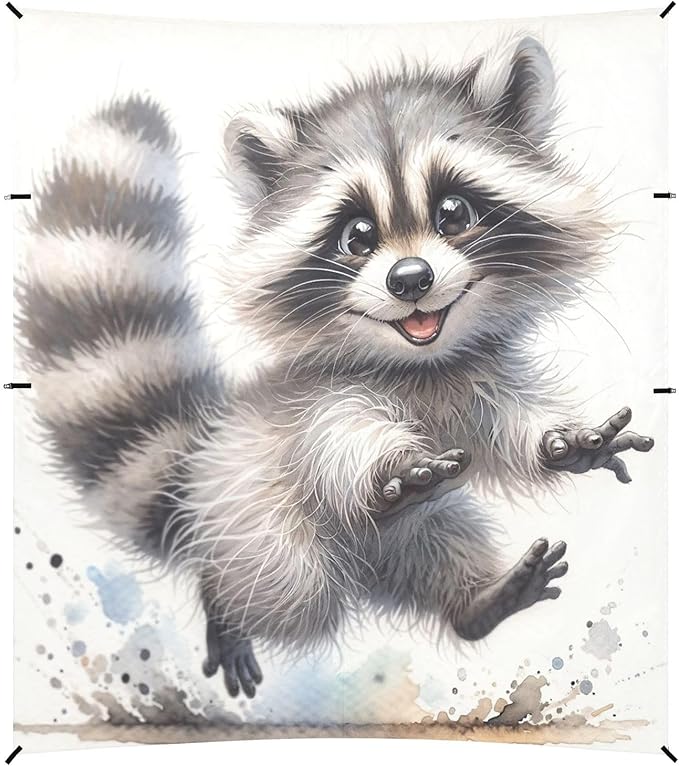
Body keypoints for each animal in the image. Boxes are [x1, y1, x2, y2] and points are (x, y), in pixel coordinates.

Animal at [18, 35, 654, 699]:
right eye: (357, 236)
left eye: (453, 212)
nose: (410, 280)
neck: (424, 364)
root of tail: (198, 473)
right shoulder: (319, 400)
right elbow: (338, 443)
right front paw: (389, 468)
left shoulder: (480, 376)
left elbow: (510, 424)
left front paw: (561, 441)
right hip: (256, 518)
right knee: (288, 591)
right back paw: (224, 604)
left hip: (393, 539)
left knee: (439, 538)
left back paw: (477, 602)